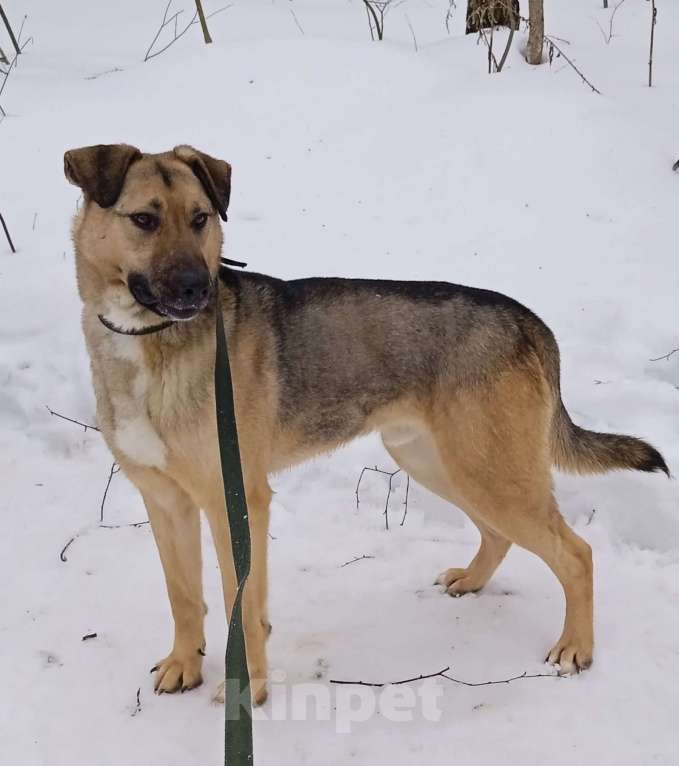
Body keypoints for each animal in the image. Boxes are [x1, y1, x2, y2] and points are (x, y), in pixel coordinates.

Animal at [63, 144, 668, 708]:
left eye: (200, 218)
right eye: (144, 219)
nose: (197, 289)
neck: (147, 343)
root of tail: (528, 321)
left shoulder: (235, 499)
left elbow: (245, 605)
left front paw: (248, 688)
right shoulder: (165, 501)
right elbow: (183, 595)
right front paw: (185, 665)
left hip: (488, 472)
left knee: (577, 555)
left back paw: (576, 647)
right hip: (440, 463)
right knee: (499, 535)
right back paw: (472, 581)